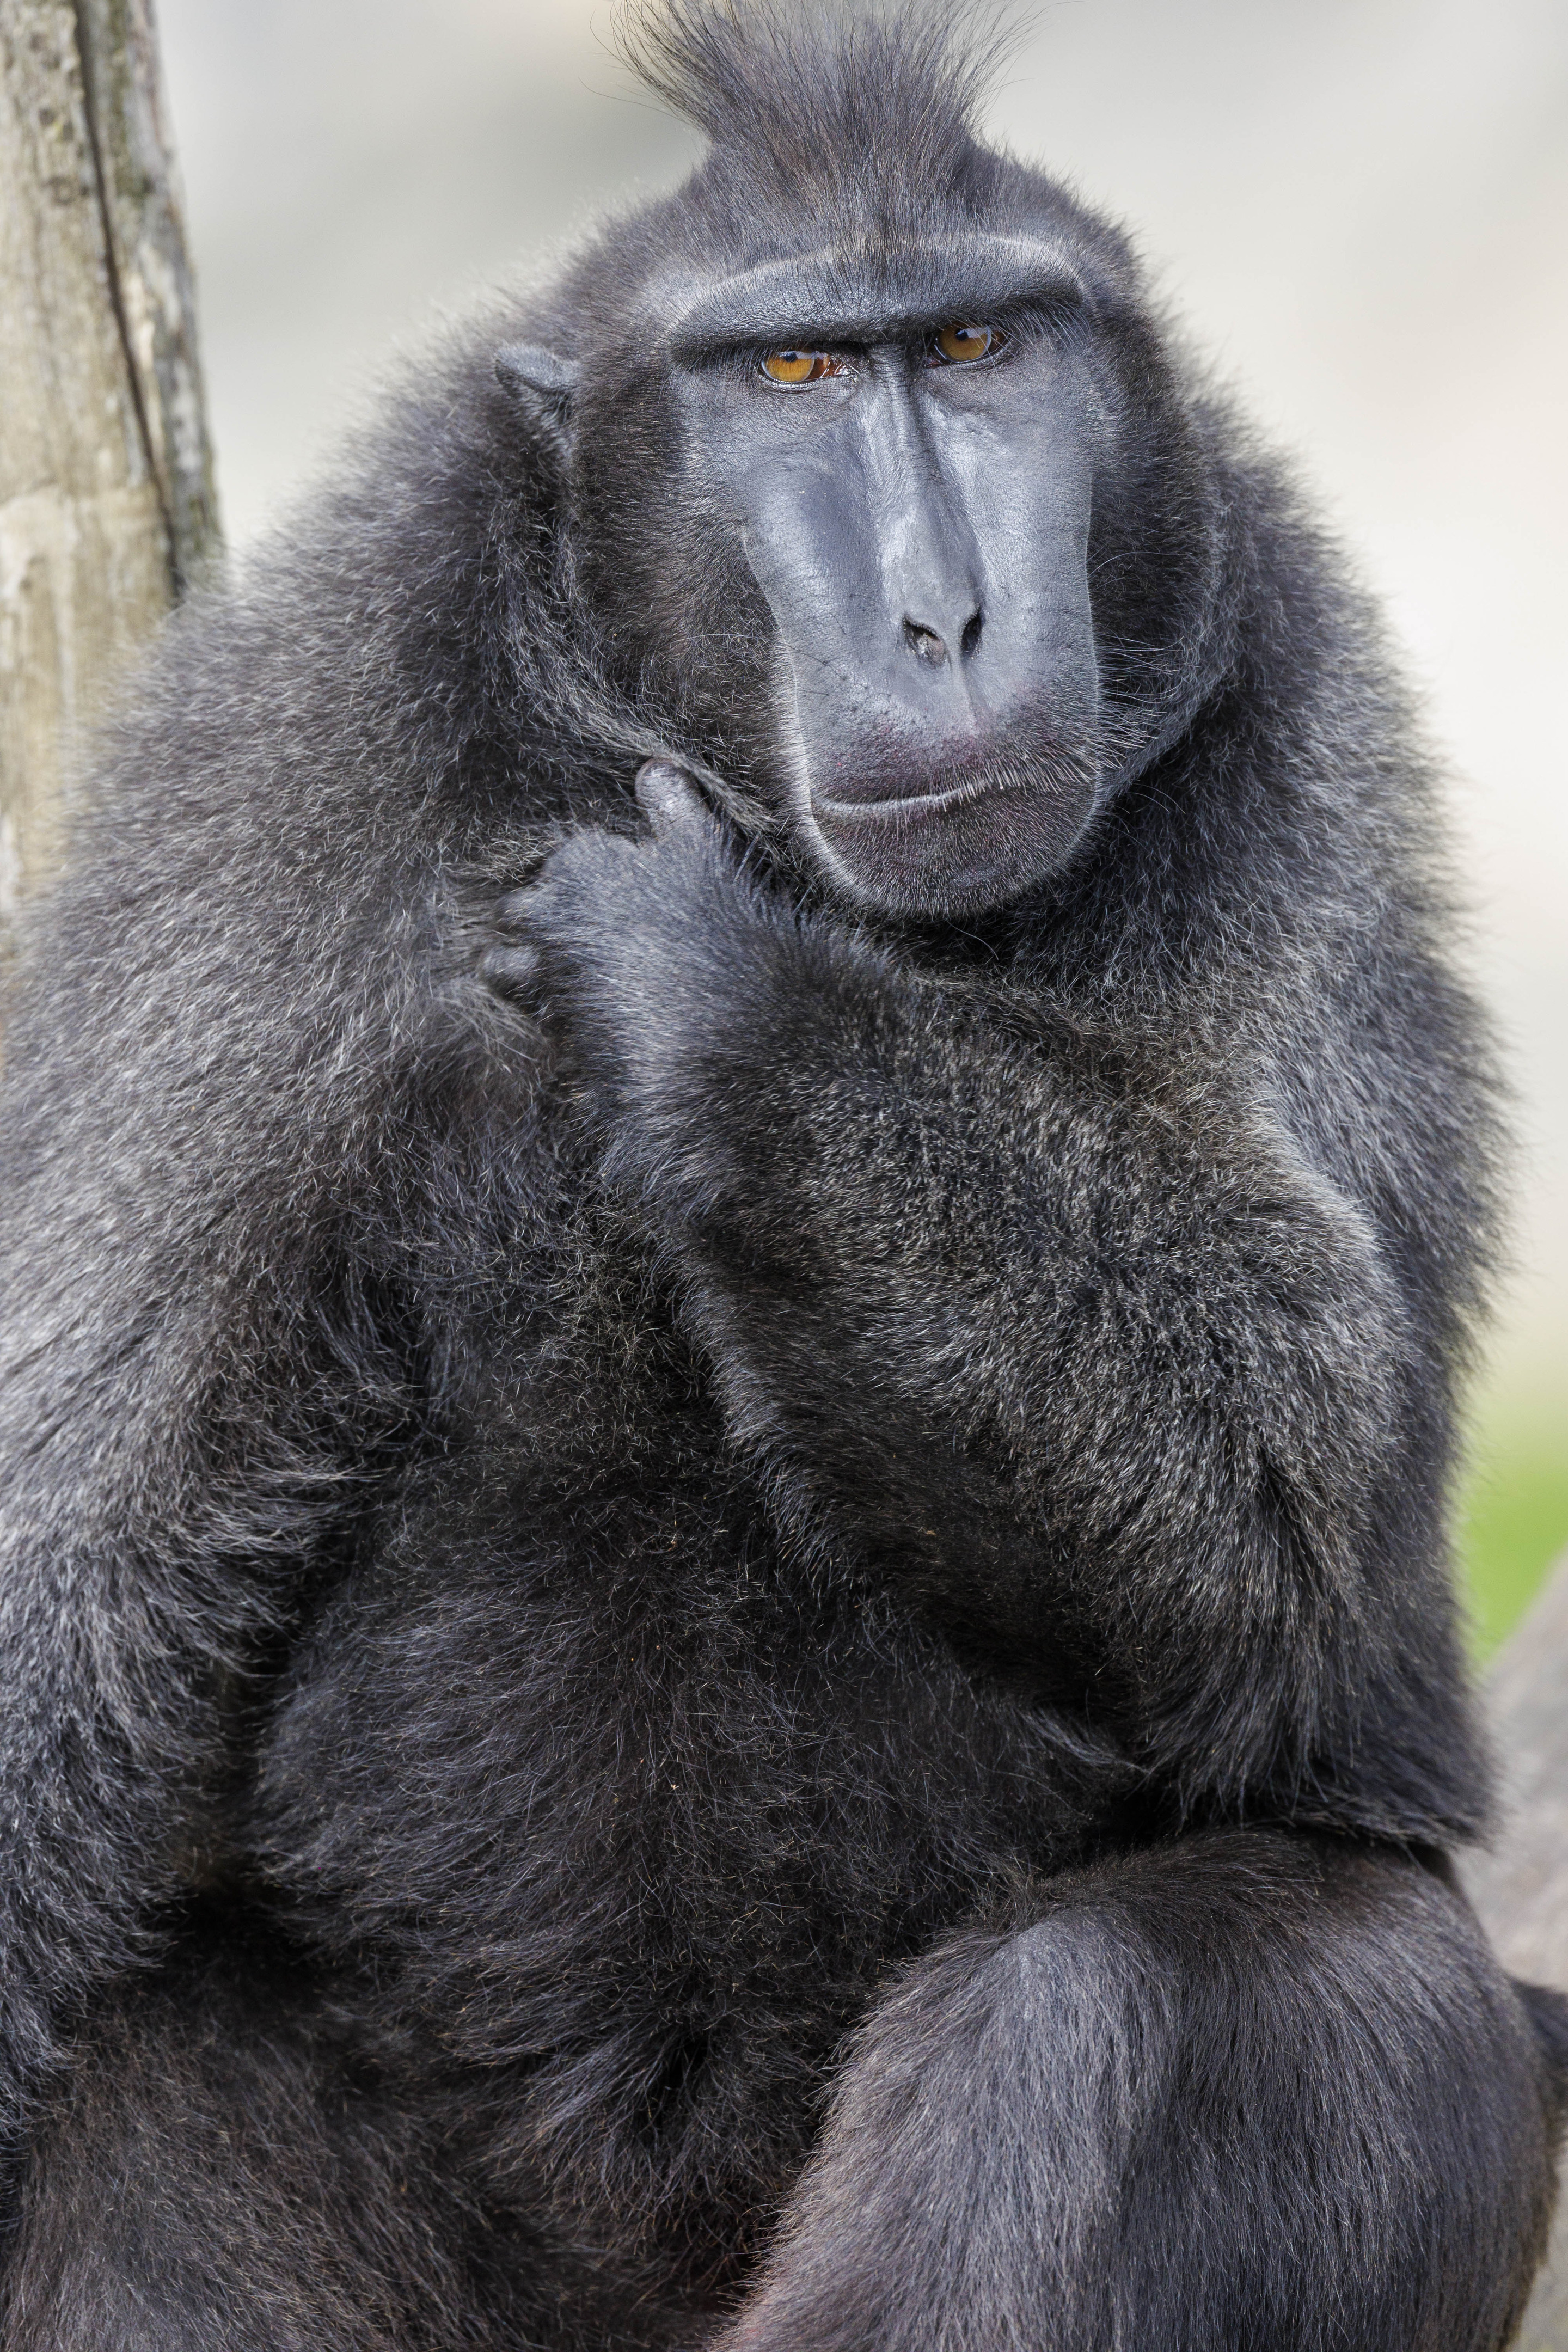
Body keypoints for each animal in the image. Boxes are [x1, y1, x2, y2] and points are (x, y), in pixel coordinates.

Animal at [0, 2, 1562, 2345]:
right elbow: (56, 1573)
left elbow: (1290, 1519)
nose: (943, 617)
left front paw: (707, 981)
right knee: (150, 2092)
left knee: (1190, 1998)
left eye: (983, 345)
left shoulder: (1294, 730)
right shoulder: (288, 778)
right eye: (798, 374)